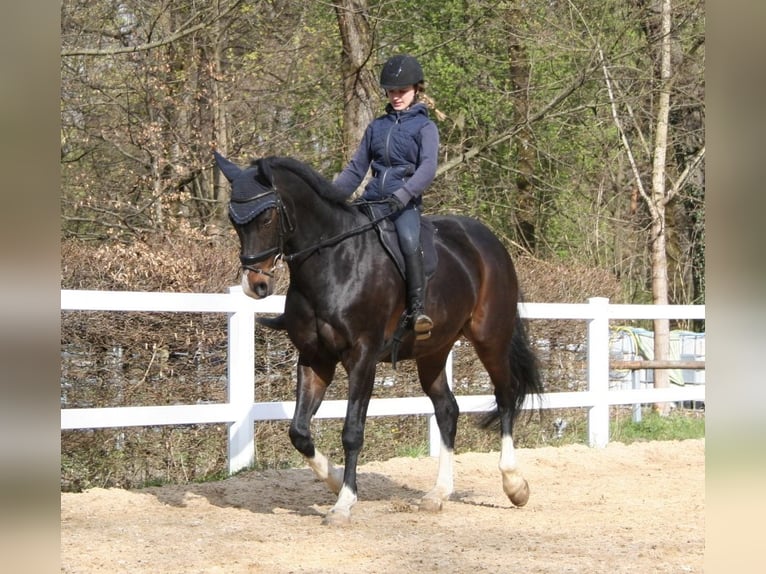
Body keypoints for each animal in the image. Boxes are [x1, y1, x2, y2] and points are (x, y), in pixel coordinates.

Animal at [214, 152, 543, 525]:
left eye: (267, 215)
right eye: (234, 219)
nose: (255, 285)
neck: (333, 262)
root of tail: (489, 242)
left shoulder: (362, 357)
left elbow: (352, 431)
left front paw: (344, 503)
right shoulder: (315, 358)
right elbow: (299, 432)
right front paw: (334, 480)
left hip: (491, 339)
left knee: (505, 396)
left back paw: (515, 485)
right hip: (434, 350)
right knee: (447, 410)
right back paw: (438, 494)